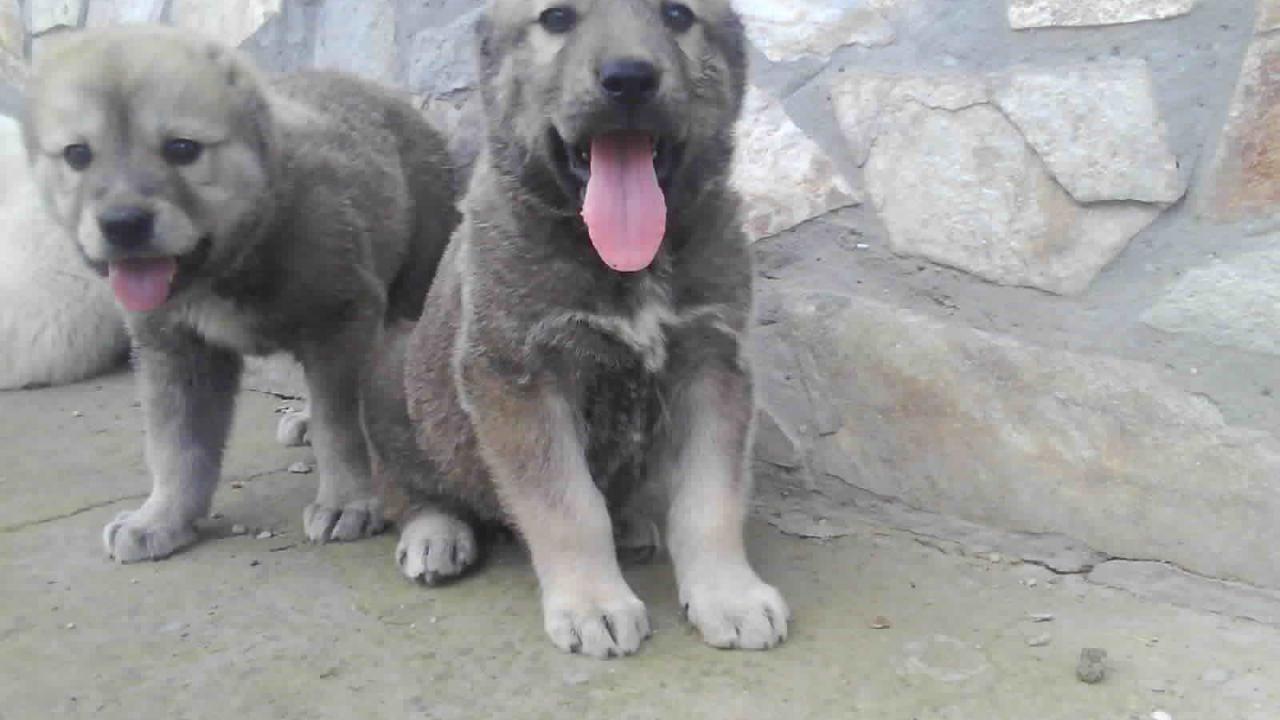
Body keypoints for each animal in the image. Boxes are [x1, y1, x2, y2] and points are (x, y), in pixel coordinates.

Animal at [22, 26, 458, 562]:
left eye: (182, 149)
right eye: (77, 155)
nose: (122, 224)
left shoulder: (341, 320)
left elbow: (342, 427)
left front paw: (347, 502)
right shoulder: (173, 348)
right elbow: (176, 445)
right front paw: (160, 519)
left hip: (415, 279)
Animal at [366, 0, 789, 658]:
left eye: (677, 14)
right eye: (558, 19)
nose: (629, 79)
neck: (620, 259)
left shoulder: (713, 363)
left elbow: (709, 499)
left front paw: (729, 595)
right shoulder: (520, 375)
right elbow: (567, 505)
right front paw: (595, 603)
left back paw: (632, 524)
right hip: (393, 376)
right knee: (410, 482)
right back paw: (437, 532)